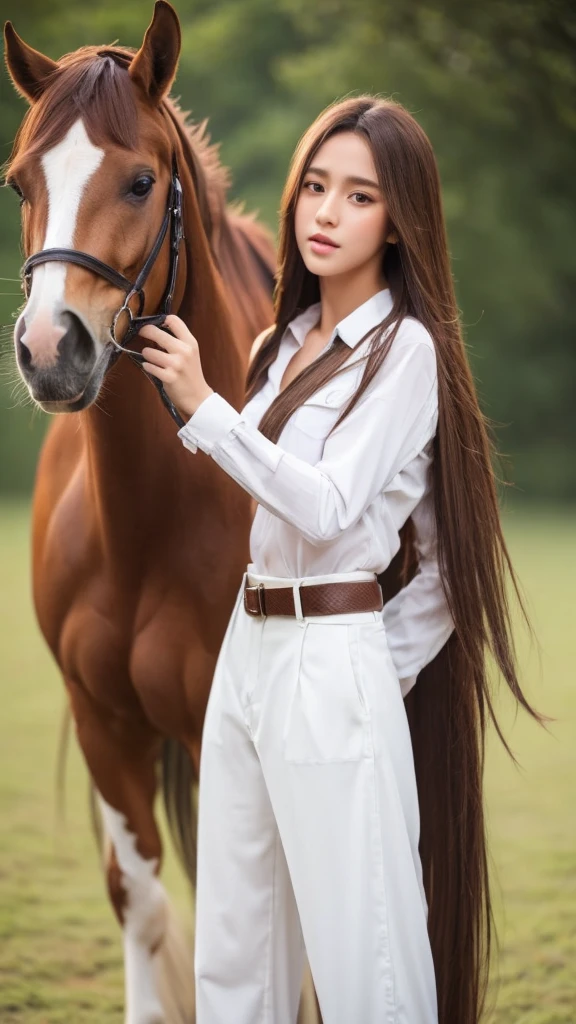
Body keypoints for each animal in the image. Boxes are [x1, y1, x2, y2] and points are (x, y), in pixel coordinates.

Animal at [4, 4, 315, 1019]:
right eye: (20, 182)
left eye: (141, 181)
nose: (48, 347)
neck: (147, 527)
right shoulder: (108, 727)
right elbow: (141, 908)